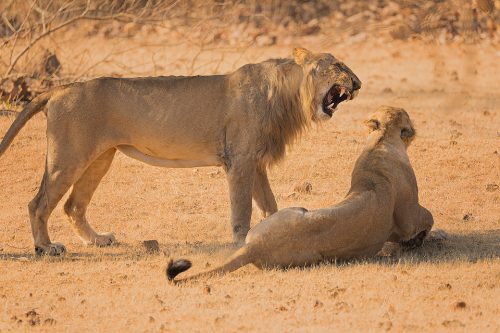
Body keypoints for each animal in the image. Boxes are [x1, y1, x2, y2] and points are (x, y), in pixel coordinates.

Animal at [0, 46, 362, 254]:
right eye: (338, 65)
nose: (358, 84)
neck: (288, 94)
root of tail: (61, 88)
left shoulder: (255, 162)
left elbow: (269, 205)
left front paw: (277, 234)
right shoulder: (239, 160)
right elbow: (242, 208)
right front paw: (240, 240)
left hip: (100, 158)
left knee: (73, 205)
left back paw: (98, 240)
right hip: (67, 158)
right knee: (38, 203)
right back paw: (46, 247)